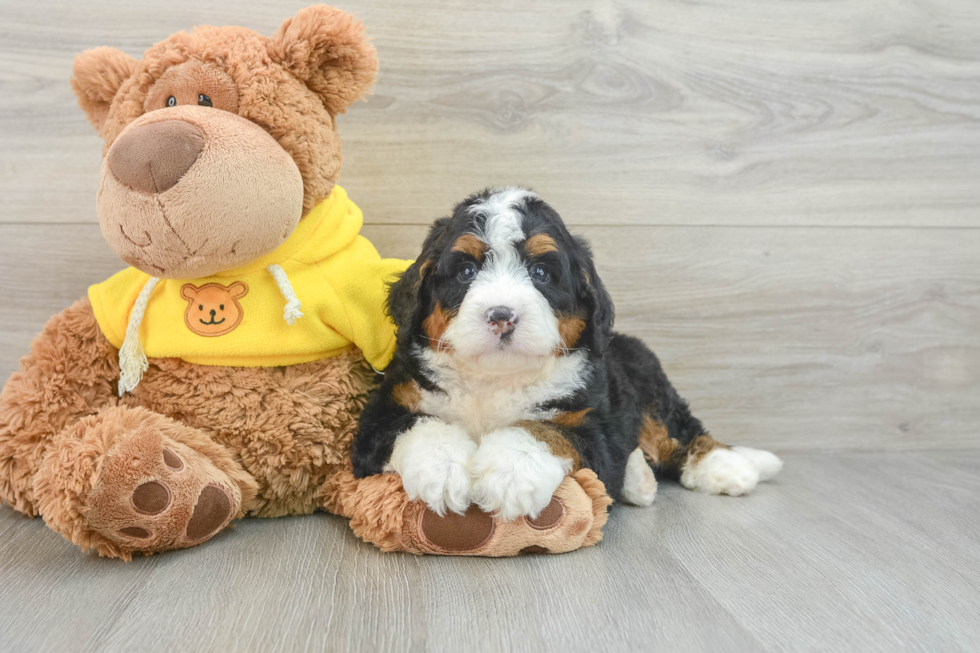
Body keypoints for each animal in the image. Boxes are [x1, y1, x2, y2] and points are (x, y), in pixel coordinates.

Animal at [352, 187, 780, 520]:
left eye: (541, 273)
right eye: (466, 272)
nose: (502, 316)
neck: (494, 378)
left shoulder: (593, 425)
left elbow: (544, 430)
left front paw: (511, 474)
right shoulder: (381, 414)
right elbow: (420, 425)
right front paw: (441, 471)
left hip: (647, 379)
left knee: (681, 430)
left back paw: (730, 466)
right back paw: (639, 479)